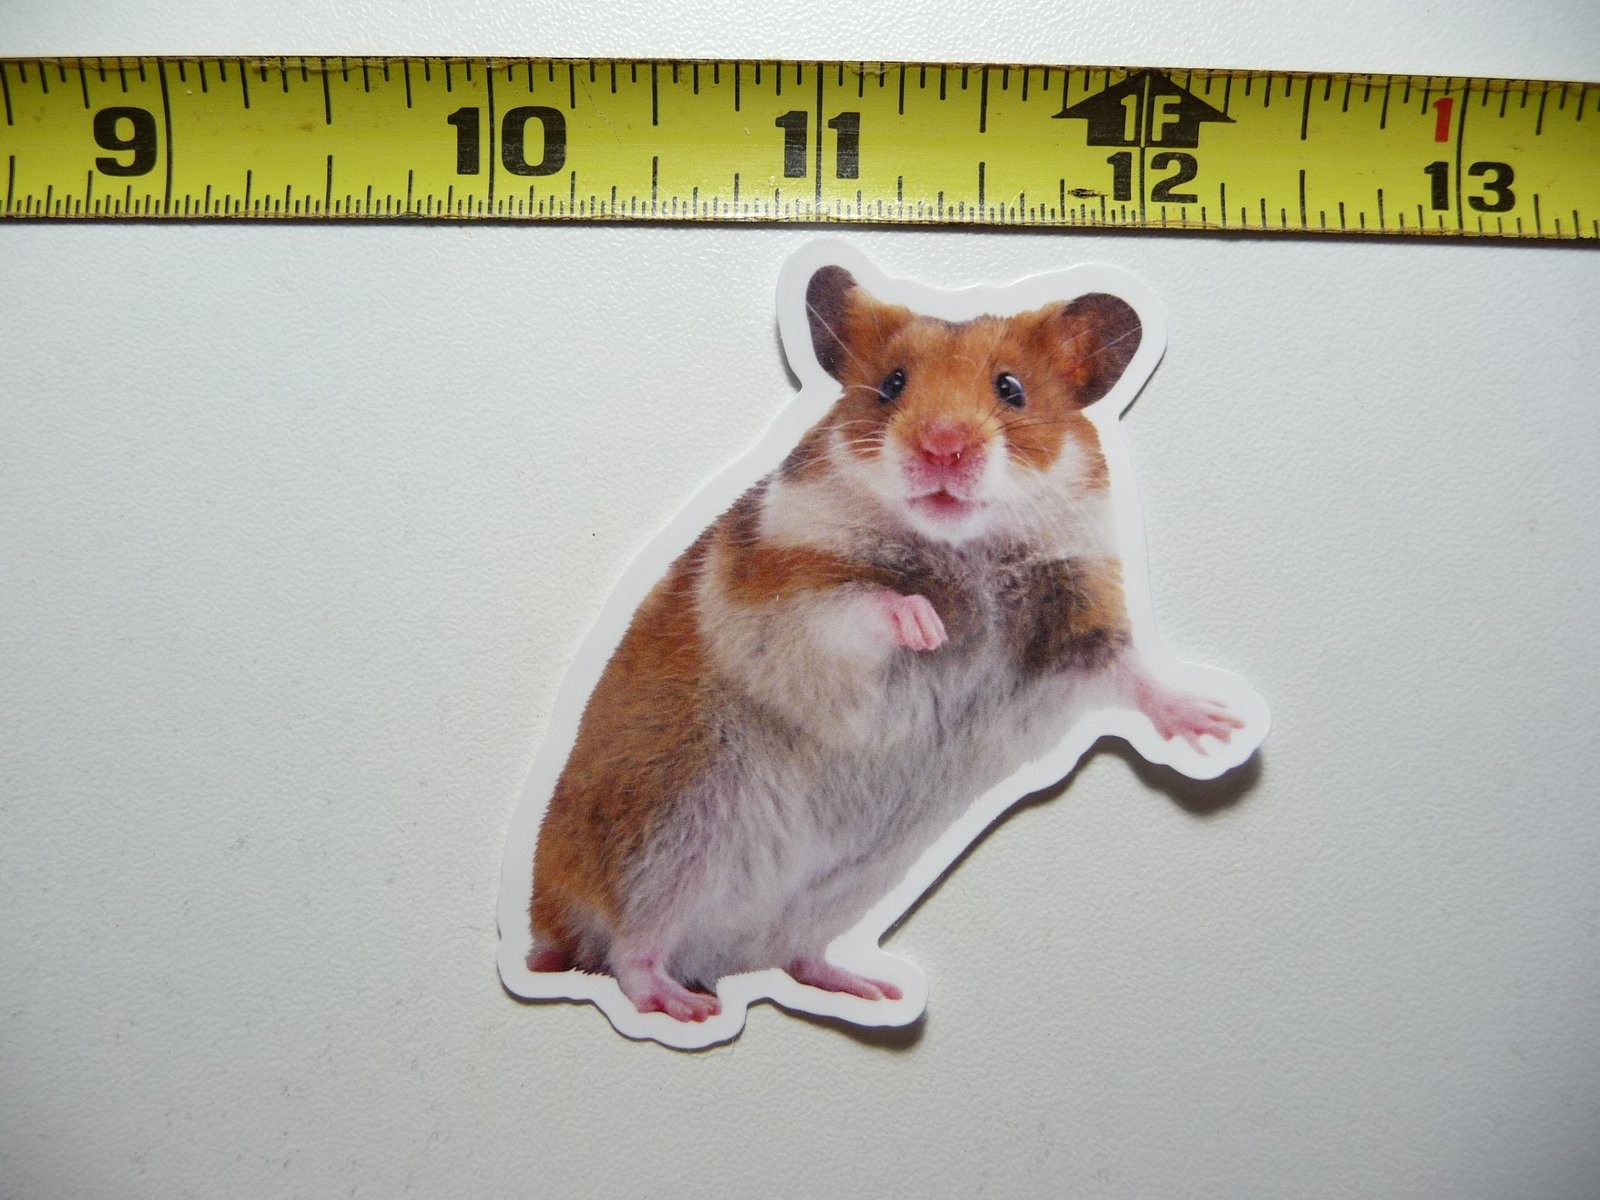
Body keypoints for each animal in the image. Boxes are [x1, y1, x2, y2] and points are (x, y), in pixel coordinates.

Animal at [524, 262, 1243, 1023]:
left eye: (1011, 389)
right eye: (892, 384)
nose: (943, 446)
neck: (965, 548)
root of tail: (545, 918)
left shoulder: (1076, 625)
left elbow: (1132, 673)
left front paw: (1219, 726)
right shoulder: (787, 601)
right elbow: (865, 603)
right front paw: (929, 626)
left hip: (842, 885)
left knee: (794, 956)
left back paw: (873, 987)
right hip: (666, 837)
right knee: (628, 949)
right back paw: (685, 1006)